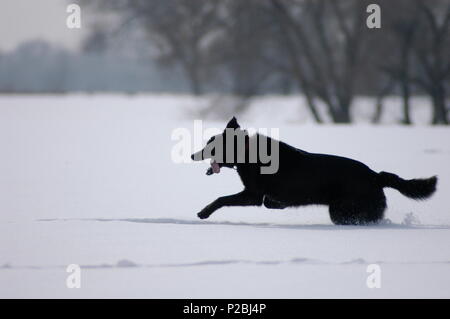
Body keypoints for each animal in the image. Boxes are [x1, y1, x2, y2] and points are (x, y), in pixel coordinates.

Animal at [192, 117, 438, 225]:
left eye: (210, 145)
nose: (193, 155)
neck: (246, 152)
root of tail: (375, 176)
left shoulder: (252, 195)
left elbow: (222, 199)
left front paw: (203, 213)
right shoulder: (261, 196)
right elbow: (272, 202)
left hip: (340, 210)